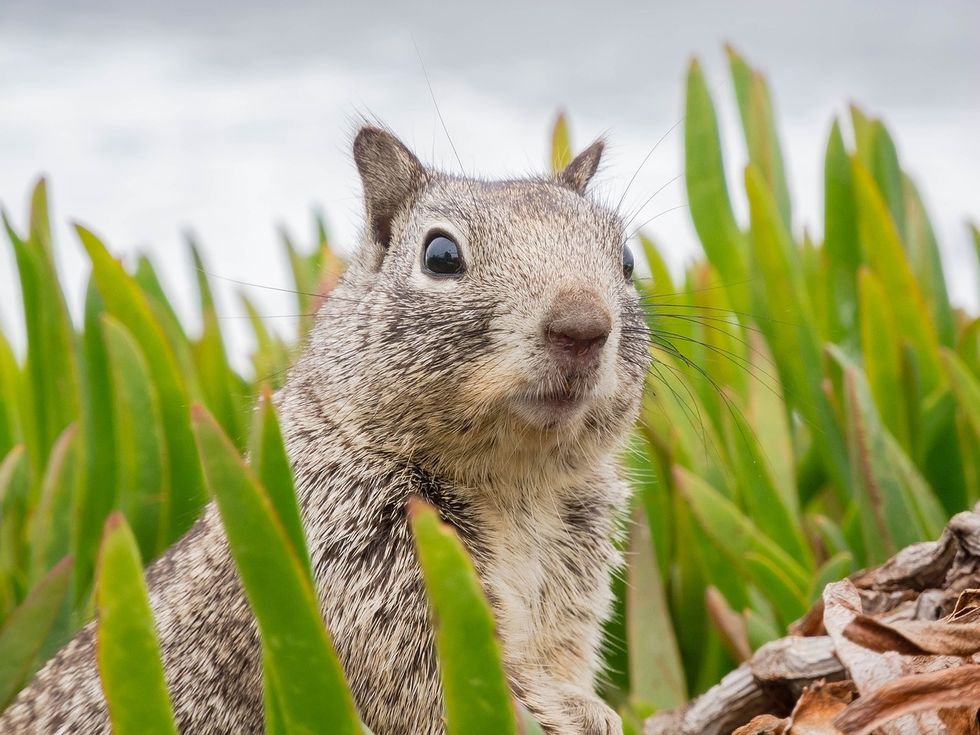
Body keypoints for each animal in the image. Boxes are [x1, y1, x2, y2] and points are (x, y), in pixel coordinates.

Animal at [0, 126, 651, 734]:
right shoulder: (361, 570)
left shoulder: (574, 578)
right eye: (440, 255)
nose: (583, 326)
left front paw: (596, 710)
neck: (516, 481)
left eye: (626, 259)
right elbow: (455, 690)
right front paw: (581, 717)